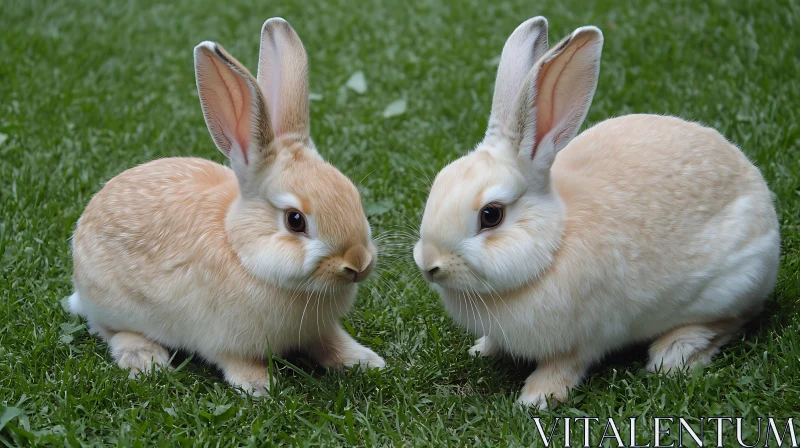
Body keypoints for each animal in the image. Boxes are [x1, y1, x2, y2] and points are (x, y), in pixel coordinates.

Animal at [69, 18, 384, 396]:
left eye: (352, 193)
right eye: (295, 220)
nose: (358, 264)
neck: (240, 249)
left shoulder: (318, 331)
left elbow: (331, 344)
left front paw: (365, 361)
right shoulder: (224, 341)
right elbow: (236, 362)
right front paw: (260, 387)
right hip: (114, 305)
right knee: (110, 330)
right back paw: (145, 359)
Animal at [416, 16, 780, 410]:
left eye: (491, 215)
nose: (429, 265)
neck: (553, 246)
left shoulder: (585, 337)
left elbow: (565, 365)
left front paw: (536, 398)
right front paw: (482, 349)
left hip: (736, 281)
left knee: (732, 320)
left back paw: (674, 353)